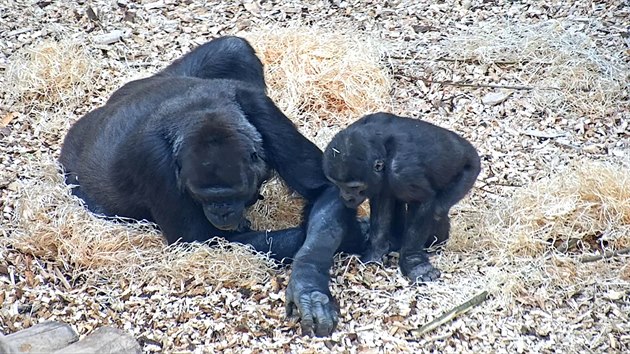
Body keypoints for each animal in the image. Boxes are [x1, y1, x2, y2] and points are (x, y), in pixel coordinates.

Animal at [61, 36, 368, 338]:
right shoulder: (153, 160)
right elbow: (200, 242)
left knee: (233, 49)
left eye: (233, 194)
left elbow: (326, 189)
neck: (200, 111)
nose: (222, 211)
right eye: (203, 196)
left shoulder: (262, 111)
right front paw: (354, 235)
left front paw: (308, 283)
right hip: (77, 185)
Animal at [324, 112, 482, 282]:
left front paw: (414, 263)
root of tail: (469, 149)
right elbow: (382, 207)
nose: (346, 197)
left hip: (469, 172)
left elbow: (421, 204)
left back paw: (434, 246)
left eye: (354, 188)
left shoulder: (402, 173)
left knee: (437, 211)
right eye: (338, 185)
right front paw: (375, 252)